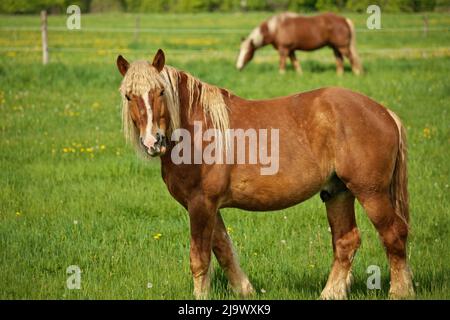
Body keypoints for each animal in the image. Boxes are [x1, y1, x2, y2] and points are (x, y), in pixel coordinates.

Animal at [117, 48, 414, 300]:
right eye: (129, 96)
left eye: (160, 92)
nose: (152, 141)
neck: (196, 130)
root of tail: (383, 112)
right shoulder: (210, 207)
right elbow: (224, 250)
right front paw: (245, 290)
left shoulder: (201, 204)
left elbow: (200, 258)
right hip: (338, 192)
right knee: (346, 241)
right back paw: (330, 293)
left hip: (370, 193)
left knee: (394, 234)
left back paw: (400, 291)